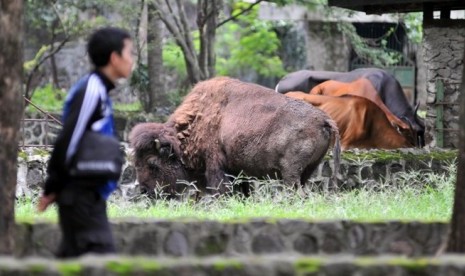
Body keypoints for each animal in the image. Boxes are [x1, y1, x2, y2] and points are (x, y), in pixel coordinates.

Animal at [129, 76, 338, 197]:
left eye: (152, 163)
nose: (144, 191)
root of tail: (325, 120)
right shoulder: (239, 171)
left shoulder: (216, 166)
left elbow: (222, 190)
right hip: (308, 170)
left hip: (290, 172)